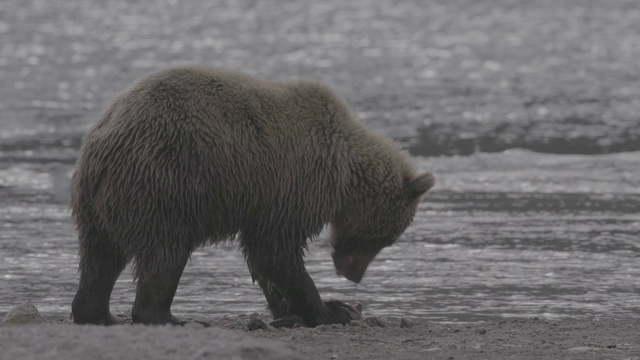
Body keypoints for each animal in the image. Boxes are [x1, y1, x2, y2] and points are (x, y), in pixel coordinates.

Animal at [70, 66, 436, 328]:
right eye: (385, 238)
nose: (354, 276)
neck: (344, 174)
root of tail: (103, 140)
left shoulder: (267, 199)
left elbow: (265, 261)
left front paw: (292, 310)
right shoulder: (294, 184)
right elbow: (275, 250)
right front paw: (332, 310)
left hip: (98, 204)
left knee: (101, 256)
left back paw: (98, 313)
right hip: (165, 182)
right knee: (165, 252)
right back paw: (167, 316)